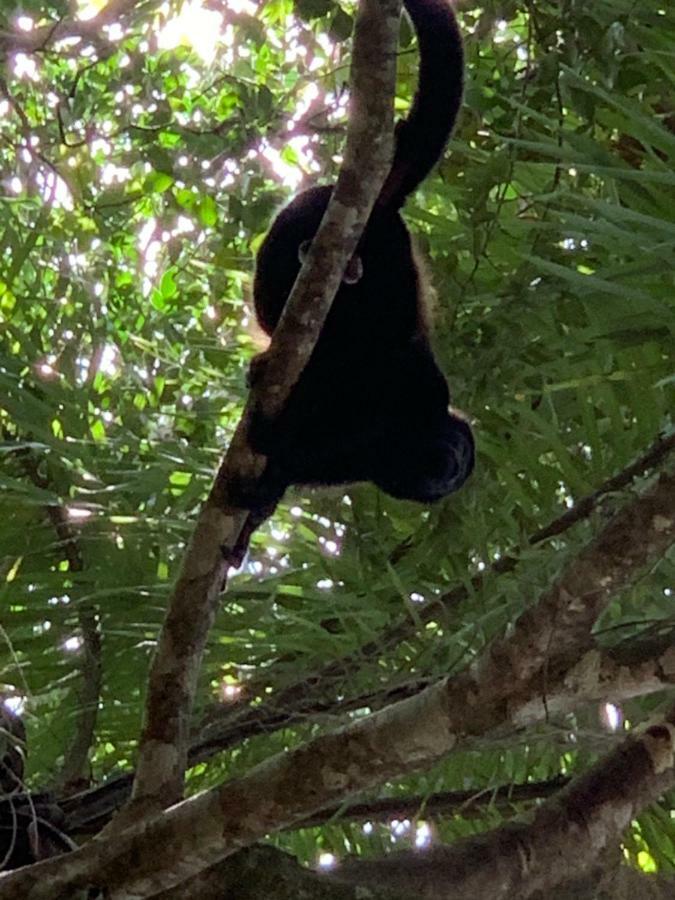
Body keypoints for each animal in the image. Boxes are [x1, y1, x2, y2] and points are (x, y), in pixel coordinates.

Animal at [235, 0, 472, 540]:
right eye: (459, 452)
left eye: (455, 476)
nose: (449, 472)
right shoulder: (426, 387)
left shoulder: (369, 466)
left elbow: (302, 458)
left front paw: (265, 492)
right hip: (347, 229)